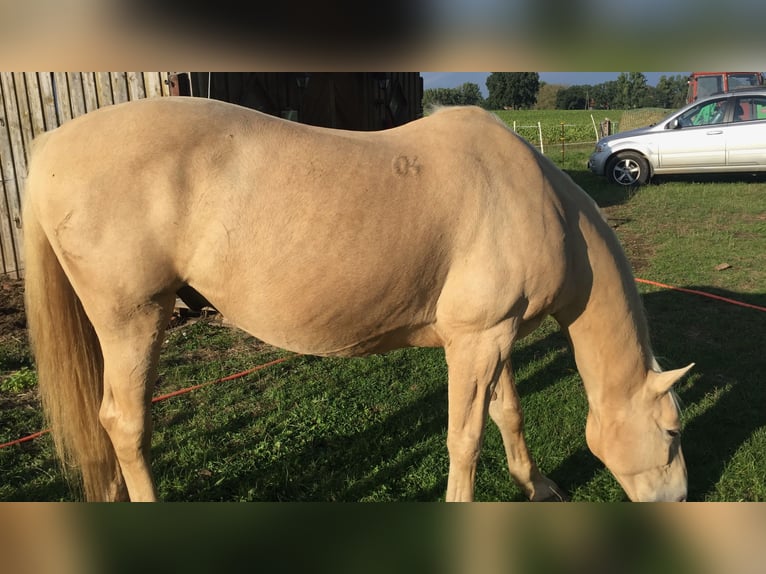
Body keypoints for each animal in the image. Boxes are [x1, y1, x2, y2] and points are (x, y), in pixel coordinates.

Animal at [22, 97, 696, 502]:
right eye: (672, 433)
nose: (682, 499)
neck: (544, 206)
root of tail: (50, 144)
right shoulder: (476, 342)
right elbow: (465, 439)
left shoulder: (493, 336)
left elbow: (508, 414)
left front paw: (538, 486)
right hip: (132, 321)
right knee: (125, 424)